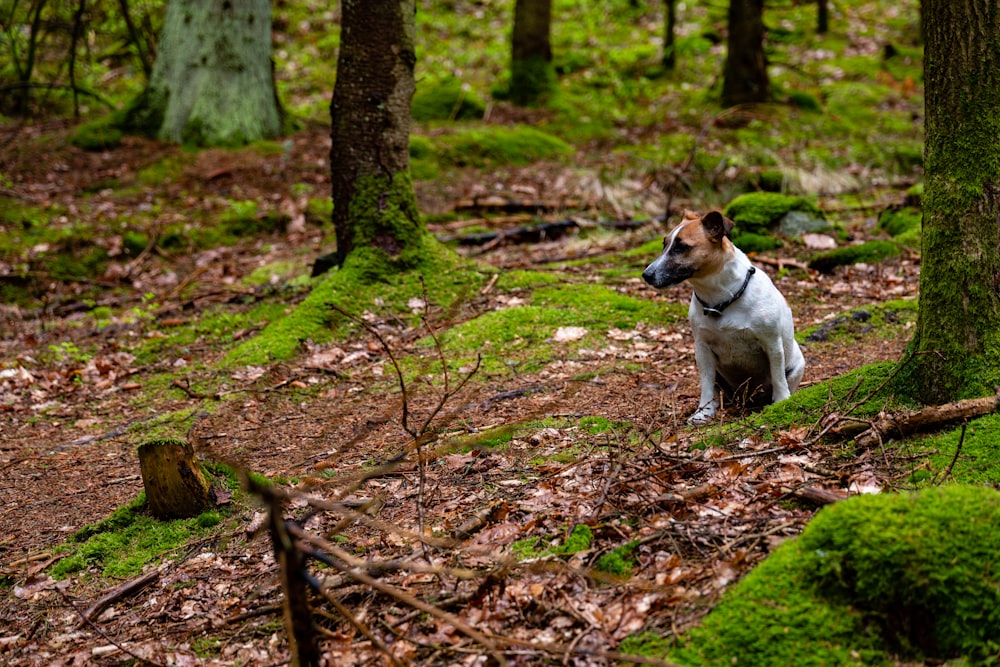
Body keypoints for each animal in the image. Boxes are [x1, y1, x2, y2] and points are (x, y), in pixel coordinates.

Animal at [640, 211, 804, 426]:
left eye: (681, 247)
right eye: (664, 244)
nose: (646, 275)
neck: (720, 300)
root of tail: (747, 397)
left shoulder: (772, 343)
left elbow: (777, 376)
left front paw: (781, 401)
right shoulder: (702, 349)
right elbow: (707, 384)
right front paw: (704, 412)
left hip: (797, 364)